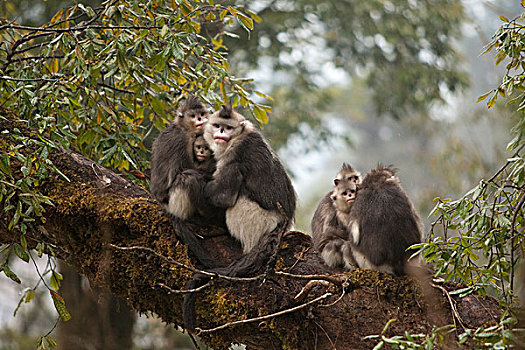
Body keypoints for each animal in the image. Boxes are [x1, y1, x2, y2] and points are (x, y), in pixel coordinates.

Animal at [183, 104, 296, 330]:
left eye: (228, 128)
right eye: (217, 125)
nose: (221, 133)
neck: (239, 137)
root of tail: (283, 222)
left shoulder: (233, 156)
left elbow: (221, 196)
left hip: (256, 220)